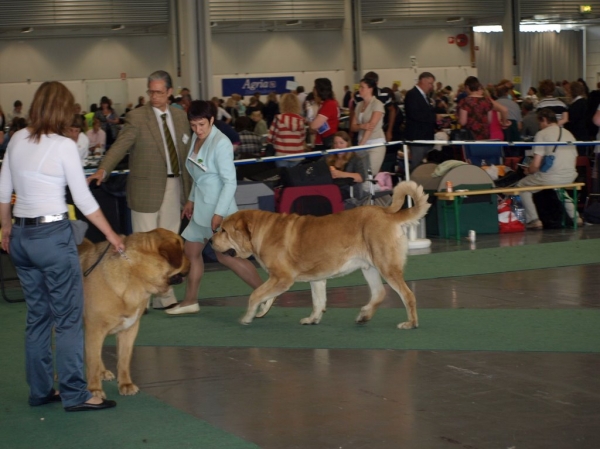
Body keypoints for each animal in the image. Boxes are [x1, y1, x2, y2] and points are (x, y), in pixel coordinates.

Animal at [77, 229, 189, 398]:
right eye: (182, 251)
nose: (190, 262)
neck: (135, 274)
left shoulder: (129, 329)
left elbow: (123, 359)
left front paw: (126, 385)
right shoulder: (95, 329)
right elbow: (93, 361)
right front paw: (94, 390)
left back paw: (103, 372)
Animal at [212, 180, 432, 328]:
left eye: (224, 230)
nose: (211, 239)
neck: (261, 232)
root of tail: (388, 213)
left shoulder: (282, 278)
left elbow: (255, 294)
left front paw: (247, 317)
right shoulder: (316, 278)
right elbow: (318, 301)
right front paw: (312, 319)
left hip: (386, 266)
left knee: (407, 294)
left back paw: (410, 323)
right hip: (369, 267)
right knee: (379, 293)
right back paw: (364, 315)